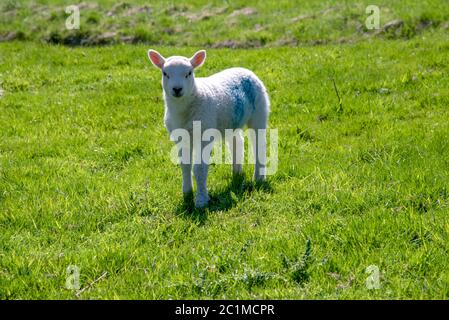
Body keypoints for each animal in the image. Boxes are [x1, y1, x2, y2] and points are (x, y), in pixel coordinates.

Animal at [148, 49, 270, 208]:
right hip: (231, 120)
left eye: (189, 73)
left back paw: (259, 178)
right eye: (165, 73)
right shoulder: (180, 137)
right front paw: (187, 193)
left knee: (259, 145)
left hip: (260, 111)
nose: (177, 89)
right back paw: (237, 173)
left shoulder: (203, 133)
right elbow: (185, 165)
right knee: (237, 142)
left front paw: (201, 200)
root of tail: (244, 70)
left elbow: (199, 168)